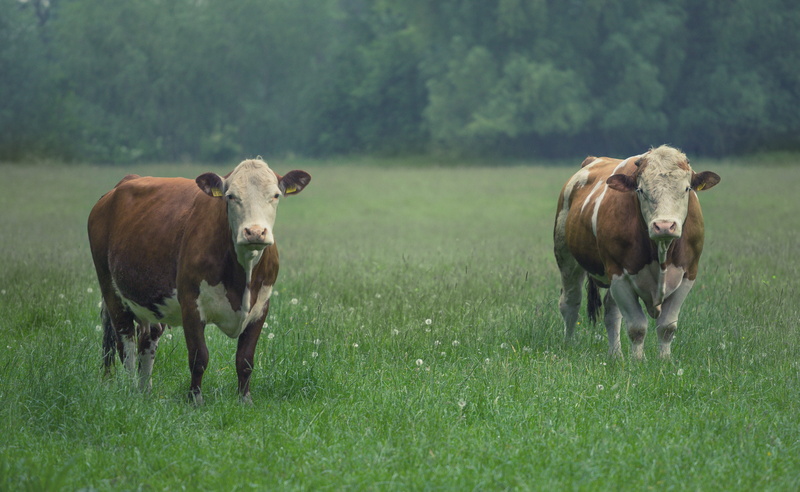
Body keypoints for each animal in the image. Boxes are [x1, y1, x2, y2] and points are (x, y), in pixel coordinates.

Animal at [88, 158, 311, 403]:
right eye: (230, 196)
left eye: (275, 195)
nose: (254, 232)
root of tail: (122, 184)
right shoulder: (191, 304)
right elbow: (198, 357)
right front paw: (195, 400)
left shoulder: (261, 306)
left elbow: (245, 359)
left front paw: (245, 400)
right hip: (110, 289)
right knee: (125, 342)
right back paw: (130, 390)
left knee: (147, 339)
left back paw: (144, 390)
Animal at [553, 145, 720, 359]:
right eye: (641, 190)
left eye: (687, 188)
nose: (664, 226)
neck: (661, 252)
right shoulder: (619, 275)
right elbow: (637, 327)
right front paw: (638, 361)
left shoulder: (688, 274)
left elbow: (667, 327)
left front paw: (665, 360)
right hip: (566, 257)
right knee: (570, 302)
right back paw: (568, 345)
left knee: (611, 312)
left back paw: (616, 354)